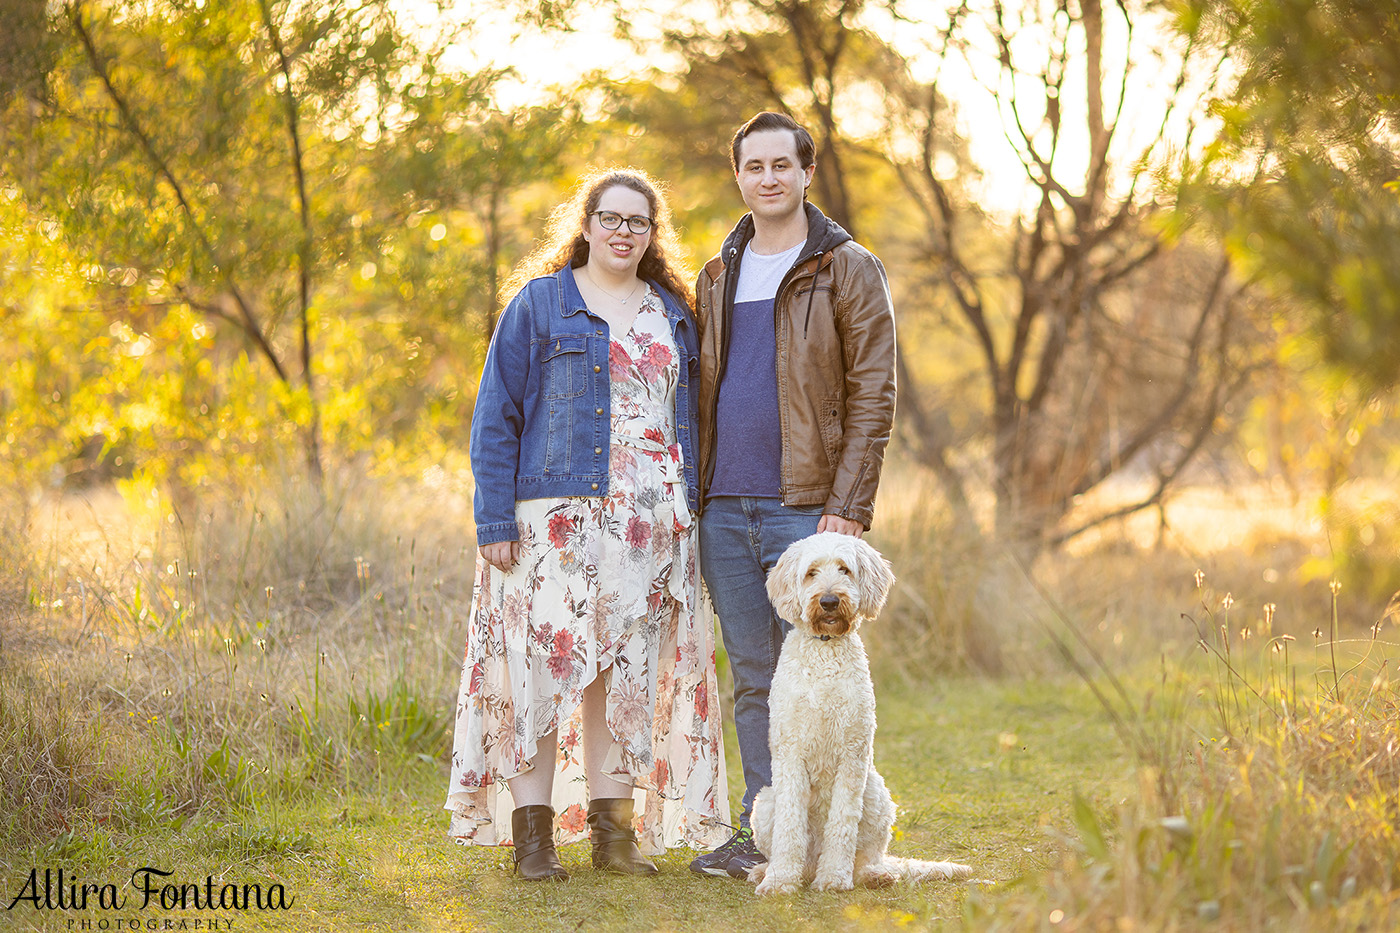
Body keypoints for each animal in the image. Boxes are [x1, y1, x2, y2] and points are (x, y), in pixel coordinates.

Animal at [750, 529, 968, 896]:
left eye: (844, 569)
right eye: (811, 572)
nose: (828, 601)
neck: (824, 650)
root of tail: (811, 864)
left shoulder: (852, 755)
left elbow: (842, 824)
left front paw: (834, 879)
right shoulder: (790, 754)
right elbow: (790, 827)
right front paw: (779, 881)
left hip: (877, 795)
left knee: (867, 855)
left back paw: (872, 875)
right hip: (765, 802)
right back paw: (767, 870)